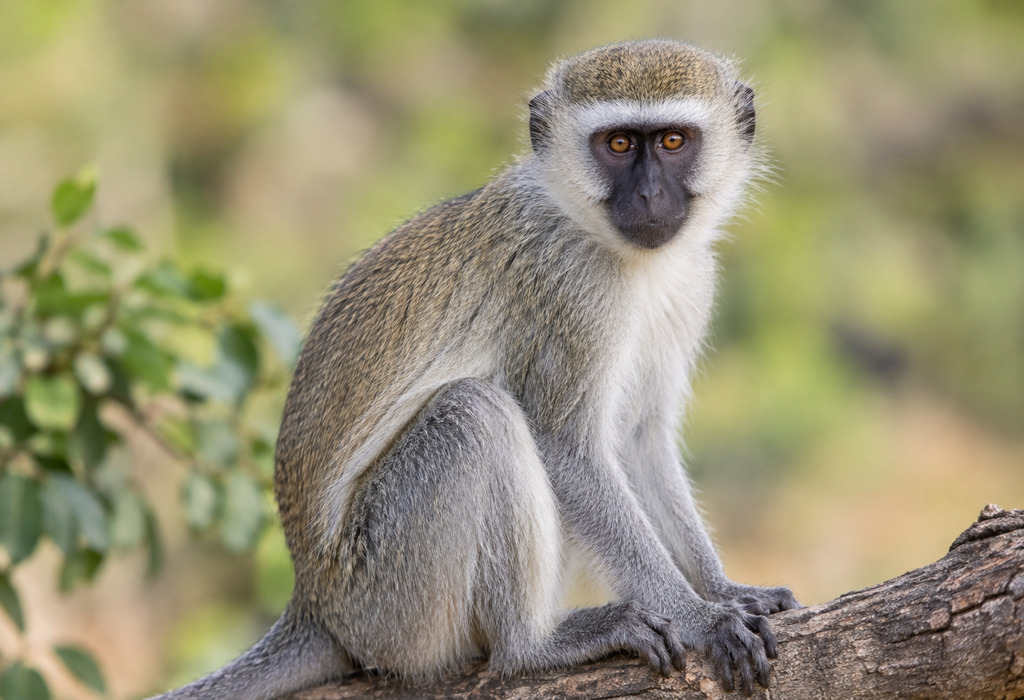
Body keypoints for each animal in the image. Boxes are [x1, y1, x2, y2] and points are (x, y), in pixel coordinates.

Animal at [152, 39, 801, 700]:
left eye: (672, 141)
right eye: (618, 144)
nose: (648, 197)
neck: (614, 249)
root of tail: (316, 606)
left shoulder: (692, 284)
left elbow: (641, 439)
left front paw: (725, 591)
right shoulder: (569, 291)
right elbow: (567, 451)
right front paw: (699, 618)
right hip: (389, 598)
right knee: (473, 415)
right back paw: (532, 647)